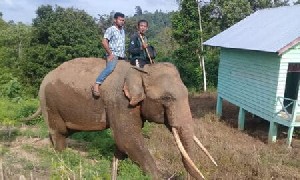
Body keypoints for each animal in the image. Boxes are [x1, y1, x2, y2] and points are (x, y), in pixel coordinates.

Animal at [31, 58, 217, 180]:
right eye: (167, 98)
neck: (140, 71)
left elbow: (123, 143)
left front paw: (116, 167)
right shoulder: (120, 101)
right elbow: (128, 138)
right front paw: (157, 176)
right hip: (49, 102)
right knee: (60, 132)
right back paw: (62, 156)